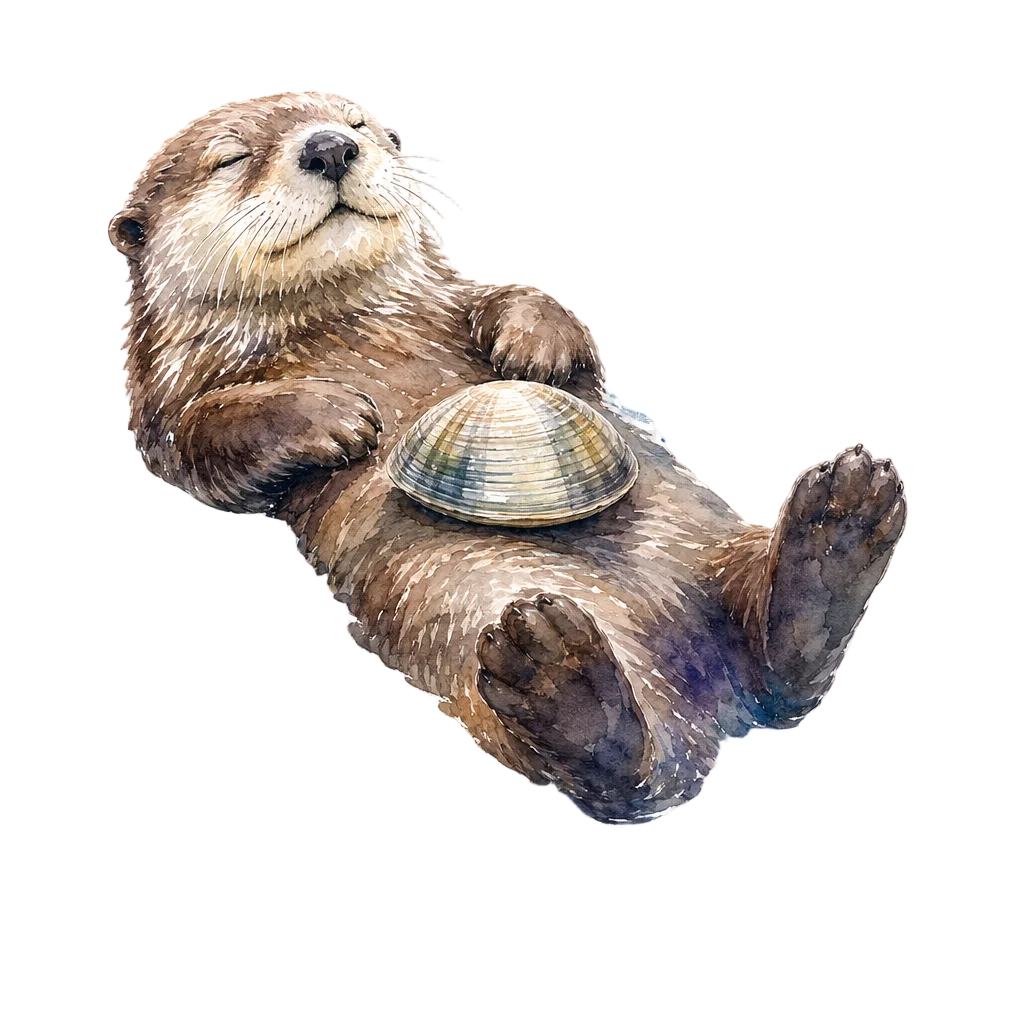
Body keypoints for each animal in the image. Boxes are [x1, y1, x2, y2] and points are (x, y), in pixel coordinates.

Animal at [111, 90, 906, 823]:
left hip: (722, 548)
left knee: (778, 657)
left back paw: (836, 527)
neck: (347, 323)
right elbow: (196, 439)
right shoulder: (165, 398)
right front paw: (338, 416)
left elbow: (542, 311)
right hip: (468, 662)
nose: (331, 147)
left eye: (357, 122)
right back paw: (557, 675)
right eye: (233, 158)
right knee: (611, 766)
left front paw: (530, 344)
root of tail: (712, 701)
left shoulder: (462, 295)